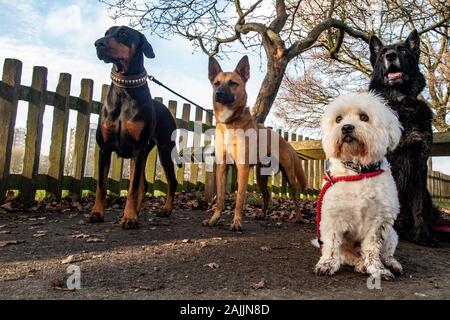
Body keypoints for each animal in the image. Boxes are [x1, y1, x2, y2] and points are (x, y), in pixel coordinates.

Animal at [90, 26, 178, 229]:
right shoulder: (104, 148)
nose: (98, 43)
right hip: (146, 151)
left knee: (171, 181)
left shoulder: (137, 149)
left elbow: (131, 188)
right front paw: (97, 213)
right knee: (143, 184)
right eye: (106, 33)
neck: (124, 90)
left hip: (164, 150)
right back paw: (137, 210)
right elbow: (101, 185)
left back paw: (165, 209)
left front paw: (129, 218)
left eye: (123, 33)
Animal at [205, 56, 308, 231]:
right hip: (261, 176)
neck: (230, 122)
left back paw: (299, 217)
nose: (218, 94)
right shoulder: (222, 167)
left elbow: (240, 199)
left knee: (295, 195)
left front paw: (236, 222)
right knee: (267, 195)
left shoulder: (242, 167)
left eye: (233, 83)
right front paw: (214, 219)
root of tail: (284, 140)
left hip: (289, 175)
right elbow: (219, 198)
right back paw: (263, 215)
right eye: (216, 83)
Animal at [314, 92, 402, 280]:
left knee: (386, 254)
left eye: (364, 117)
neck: (357, 172)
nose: (346, 127)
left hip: (391, 234)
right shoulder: (332, 218)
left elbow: (372, 249)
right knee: (348, 256)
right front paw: (327, 264)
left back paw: (390, 264)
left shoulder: (379, 222)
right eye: (338, 119)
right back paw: (359, 264)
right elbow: (331, 245)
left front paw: (377, 269)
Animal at [368, 30, 444, 246]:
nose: (390, 55)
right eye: (382, 53)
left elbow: (418, 206)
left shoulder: (419, 163)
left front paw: (423, 235)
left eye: (403, 50)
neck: (399, 104)